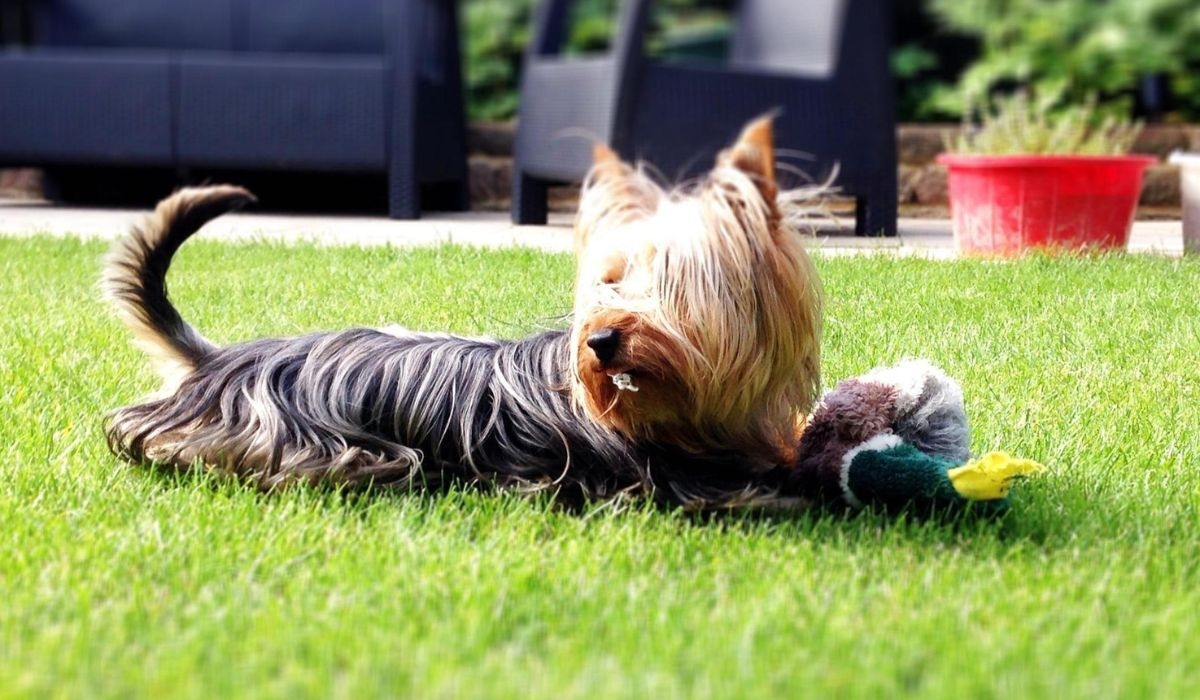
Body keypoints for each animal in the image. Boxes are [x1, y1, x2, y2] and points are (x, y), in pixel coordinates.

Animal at [103, 115, 825, 509]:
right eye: (609, 282)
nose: (598, 340)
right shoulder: (684, 481)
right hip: (320, 447)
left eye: (673, 287)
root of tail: (220, 360)